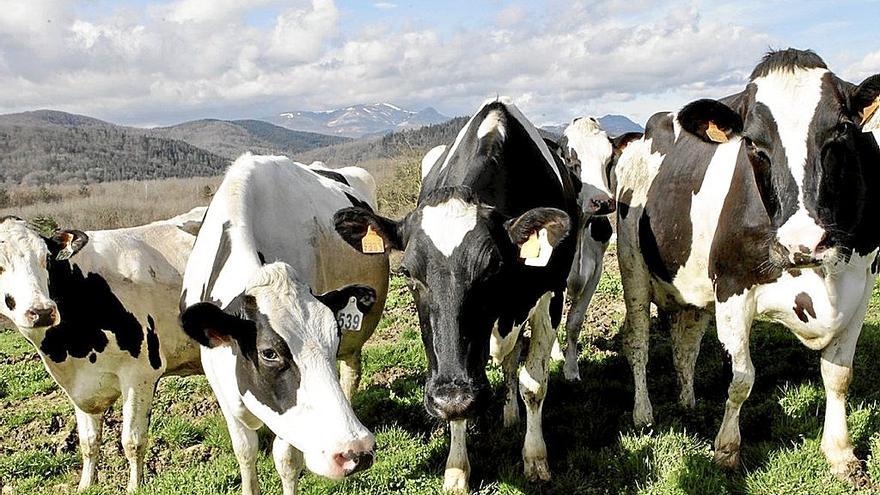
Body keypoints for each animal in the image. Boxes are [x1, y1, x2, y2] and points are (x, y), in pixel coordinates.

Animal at [0, 208, 206, 492]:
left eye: (46, 259)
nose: (41, 311)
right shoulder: (80, 386)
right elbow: (88, 442)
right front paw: (86, 485)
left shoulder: (140, 373)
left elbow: (132, 441)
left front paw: (134, 487)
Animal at [179, 155, 388, 495]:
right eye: (269, 353)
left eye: (334, 338)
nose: (355, 451)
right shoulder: (219, 383)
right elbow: (245, 450)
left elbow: (287, 460)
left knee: (351, 372)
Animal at [334, 98, 580, 492]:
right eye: (408, 274)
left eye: (492, 268)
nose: (454, 395)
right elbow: (458, 409)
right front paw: (456, 469)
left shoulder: (550, 294)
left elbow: (534, 384)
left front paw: (535, 458)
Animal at [556, 118, 640, 382]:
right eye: (570, 159)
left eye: (610, 158)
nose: (602, 202)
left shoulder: (595, 272)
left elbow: (574, 322)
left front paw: (571, 369)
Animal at [616, 48, 880, 482]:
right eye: (754, 143)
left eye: (841, 130)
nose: (803, 242)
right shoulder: (732, 288)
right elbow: (741, 379)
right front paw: (726, 450)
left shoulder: (861, 286)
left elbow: (839, 375)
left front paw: (840, 453)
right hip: (632, 266)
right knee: (638, 342)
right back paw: (643, 413)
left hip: (692, 288)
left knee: (685, 344)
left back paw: (688, 401)